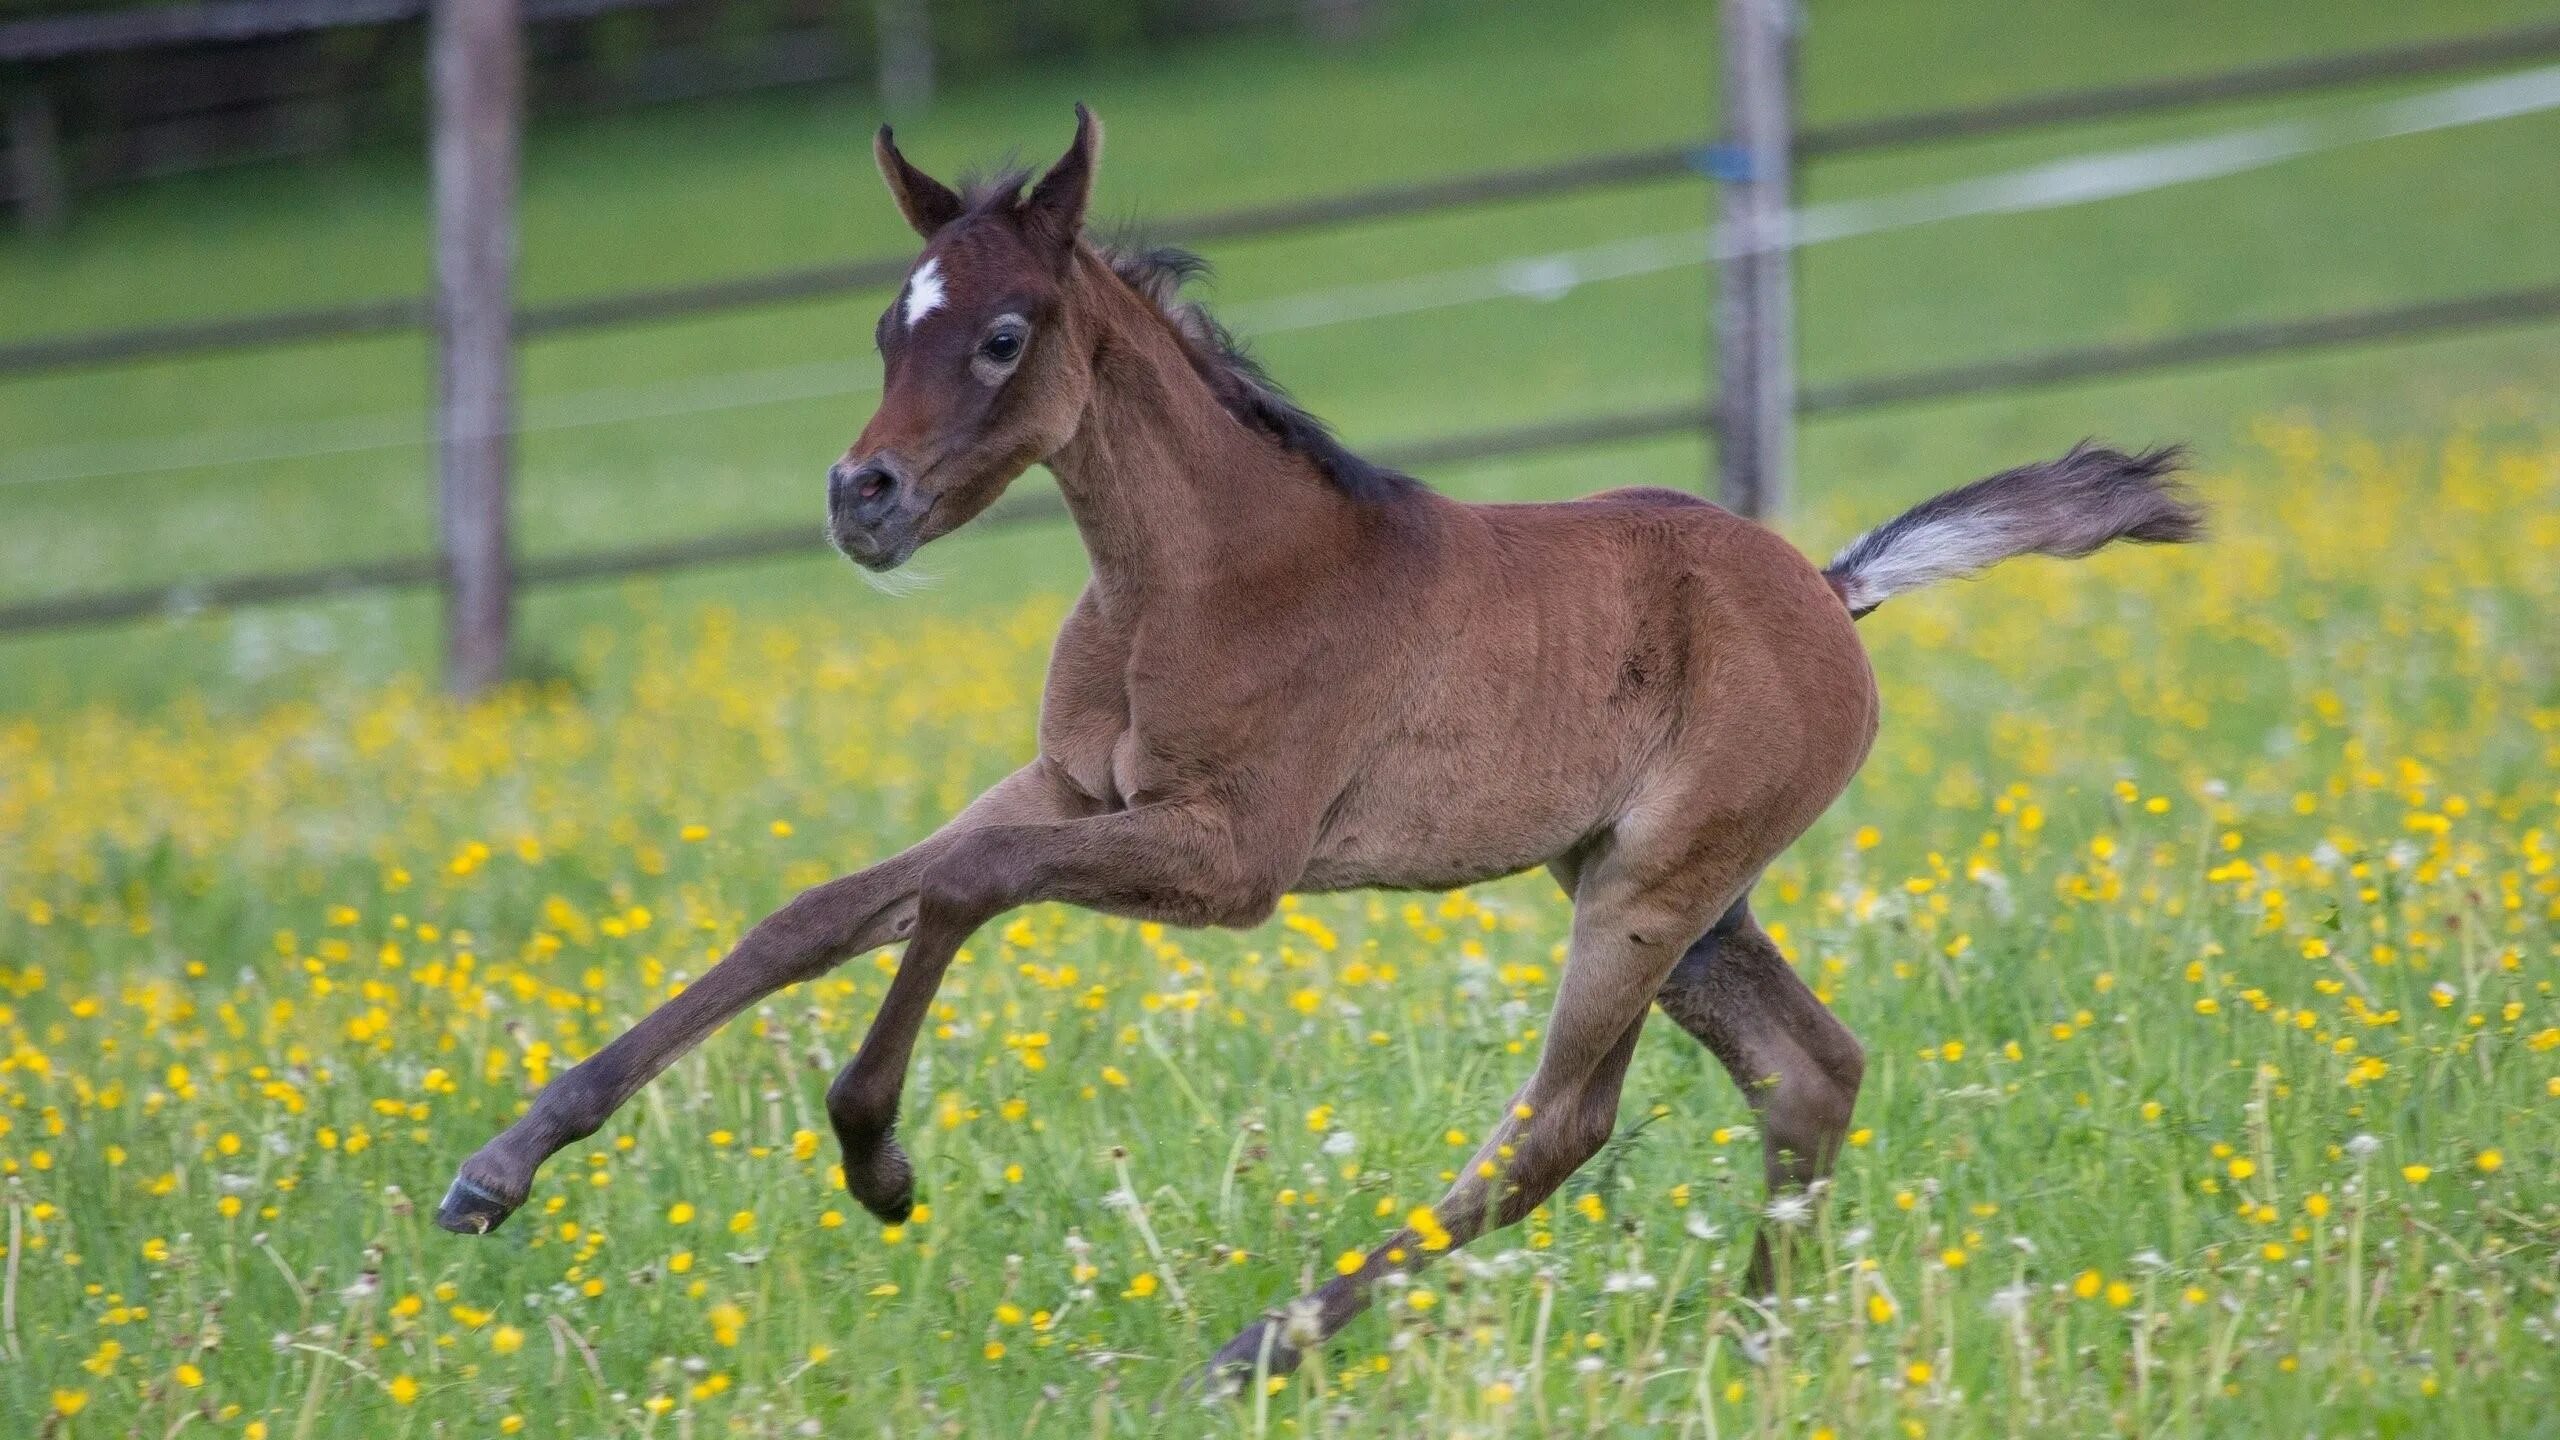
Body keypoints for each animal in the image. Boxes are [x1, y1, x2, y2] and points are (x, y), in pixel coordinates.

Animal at [435, 103, 2201, 1383]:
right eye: (887, 323)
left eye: (1004, 336)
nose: (860, 501)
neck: (1194, 575)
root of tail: (1831, 589)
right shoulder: (1063, 782)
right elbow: (812, 915)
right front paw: (499, 1168)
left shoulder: (1233, 863)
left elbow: (967, 887)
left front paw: (876, 1160)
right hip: (1669, 892)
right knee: (1806, 1069)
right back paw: (1754, 1341)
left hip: (1651, 887)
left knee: (1562, 1123)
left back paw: (1259, 1350)